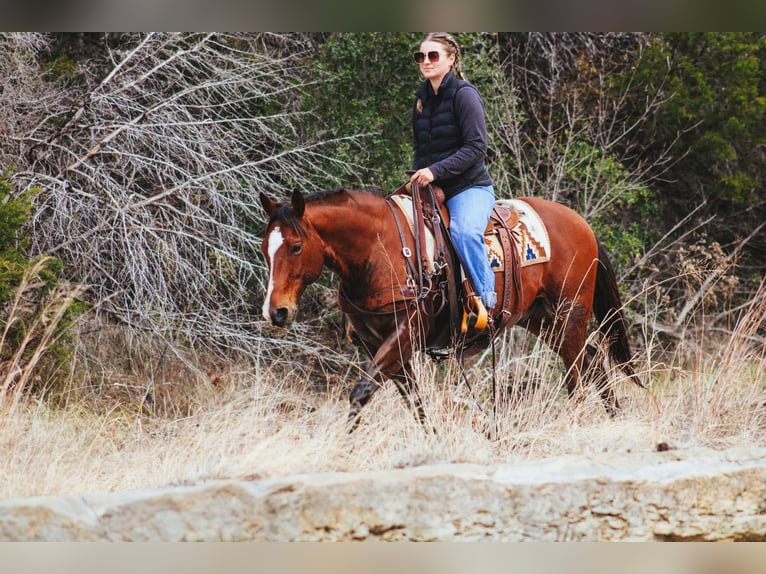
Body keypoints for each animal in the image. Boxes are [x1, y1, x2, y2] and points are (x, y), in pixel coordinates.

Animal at [258, 188, 640, 432]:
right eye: (265, 248)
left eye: (295, 246)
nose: (276, 312)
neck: (378, 250)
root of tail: (582, 223)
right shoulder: (379, 344)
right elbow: (411, 400)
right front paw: (431, 439)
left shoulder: (404, 336)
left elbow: (361, 393)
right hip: (543, 319)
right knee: (592, 359)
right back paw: (614, 416)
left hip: (568, 312)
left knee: (577, 370)